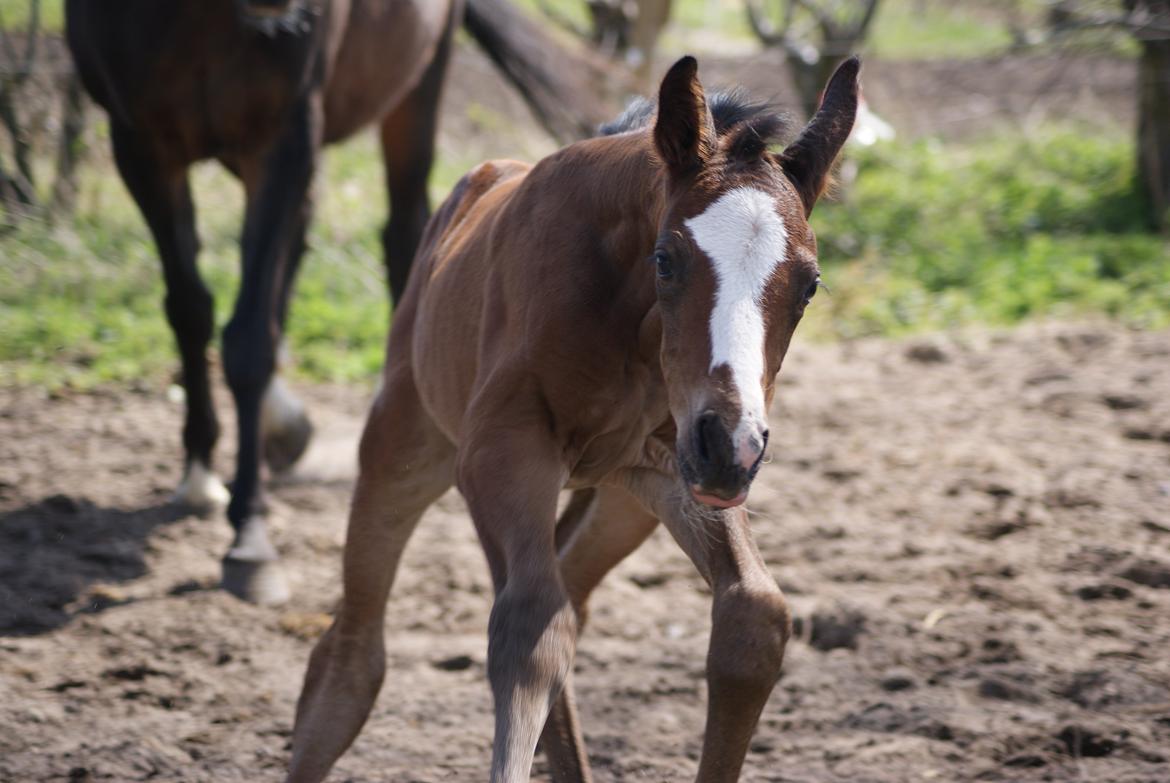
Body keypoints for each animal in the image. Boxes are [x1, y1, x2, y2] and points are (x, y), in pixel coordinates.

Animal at [66, 0, 594, 603]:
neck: (202, 19)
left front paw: (250, 539)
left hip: (417, 87)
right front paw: (199, 471)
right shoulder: (141, 145)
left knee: (401, 230)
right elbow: (190, 308)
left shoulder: (283, 135)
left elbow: (248, 337)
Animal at [288, 55, 865, 781]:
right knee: (355, 650)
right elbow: (530, 633)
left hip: (625, 501)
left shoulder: (676, 462)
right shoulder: (504, 453)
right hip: (405, 448)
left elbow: (756, 618)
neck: (630, 325)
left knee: (569, 589)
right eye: (666, 258)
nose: (730, 446)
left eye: (809, 284)